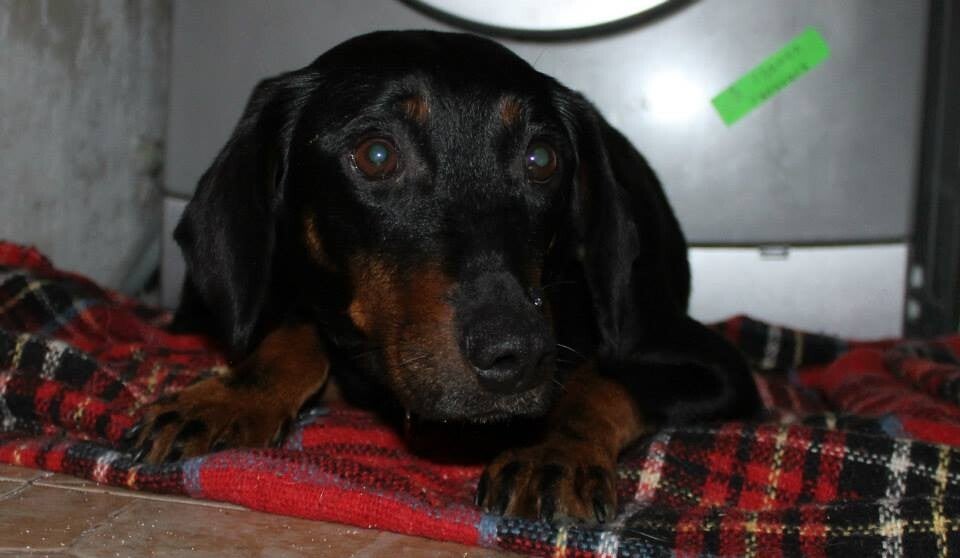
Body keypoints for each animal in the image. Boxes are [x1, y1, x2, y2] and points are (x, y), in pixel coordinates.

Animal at [126, 30, 761, 523]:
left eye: (542, 159)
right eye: (376, 154)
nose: (515, 356)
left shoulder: (710, 362)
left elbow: (600, 379)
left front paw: (553, 451)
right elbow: (293, 331)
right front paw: (228, 398)